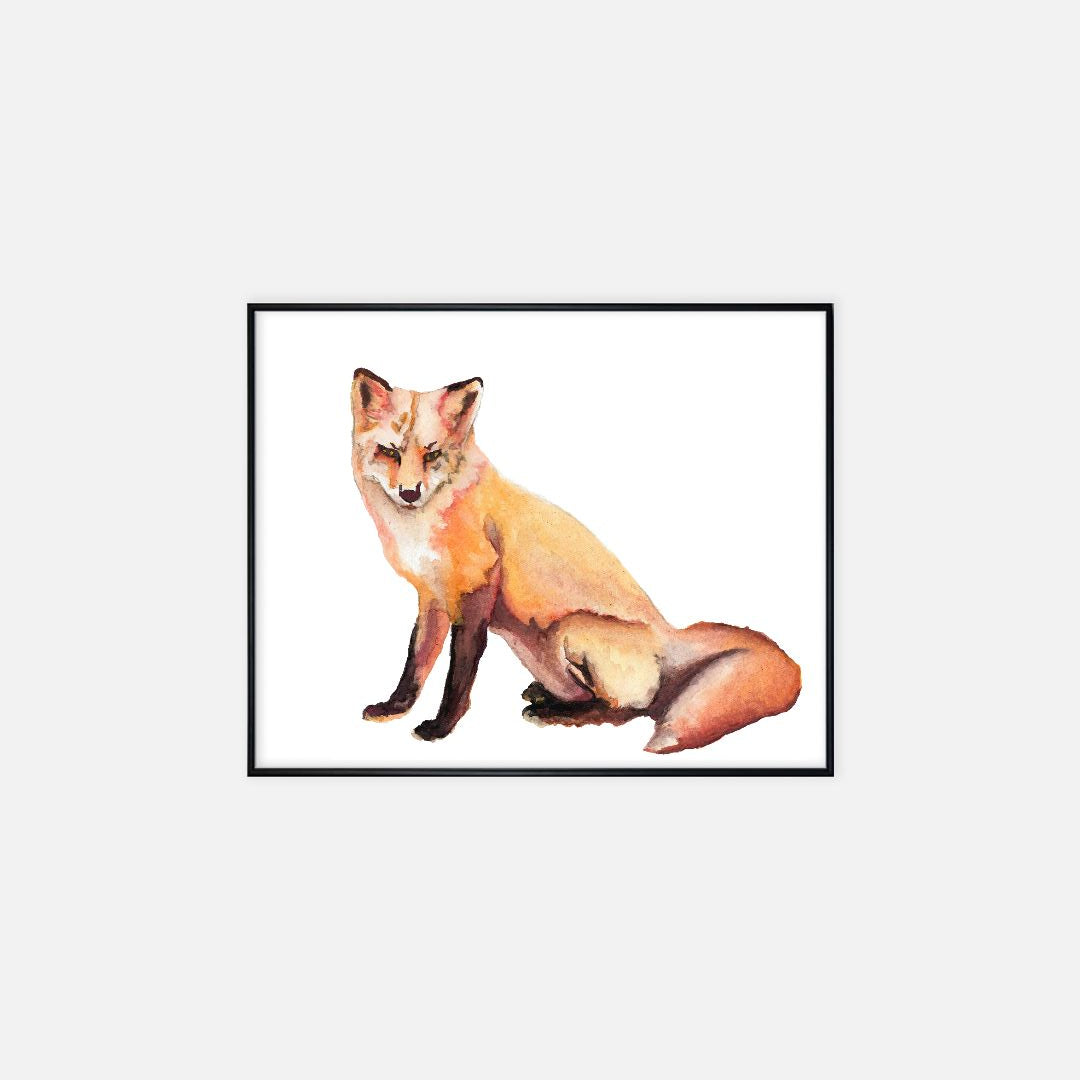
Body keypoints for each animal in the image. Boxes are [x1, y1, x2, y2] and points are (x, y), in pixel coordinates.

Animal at [351, 368, 801, 754]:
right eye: (389, 452)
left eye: (433, 455)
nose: (410, 492)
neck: (423, 528)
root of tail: (669, 634)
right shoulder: (433, 598)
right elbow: (415, 663)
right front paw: (394, 708)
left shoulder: (477, 593)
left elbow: (457, 677)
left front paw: (441, 728)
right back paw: (547, 697)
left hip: (569, 629)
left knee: (628, 710)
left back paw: (555, 714)